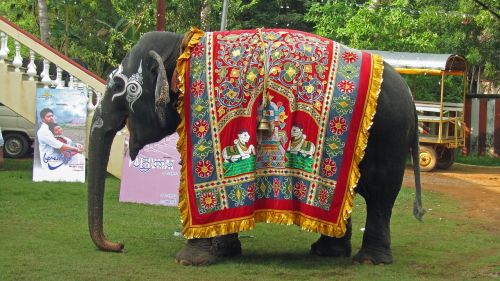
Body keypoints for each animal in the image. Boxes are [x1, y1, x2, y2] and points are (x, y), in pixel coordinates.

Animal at [88, 27, 424, 264]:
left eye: (118, 86)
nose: (119, 245)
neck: (181, 44)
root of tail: (412, 99)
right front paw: (224, 251)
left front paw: (189, 260)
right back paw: (327, 251)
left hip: (389, 136)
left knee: (380, 195)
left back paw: (369, 260)